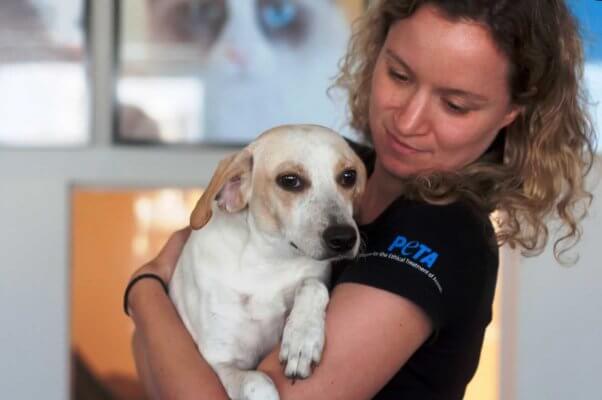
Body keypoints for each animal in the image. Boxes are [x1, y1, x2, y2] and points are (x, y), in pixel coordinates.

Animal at [169, 125, 366, 400]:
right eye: (290, 180)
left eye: (348, 176)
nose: (344, 238)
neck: (268, 265)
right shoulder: (221, 362)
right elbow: (257, 382)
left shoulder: (314, 277)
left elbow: (312, 286)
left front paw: (301, 338)